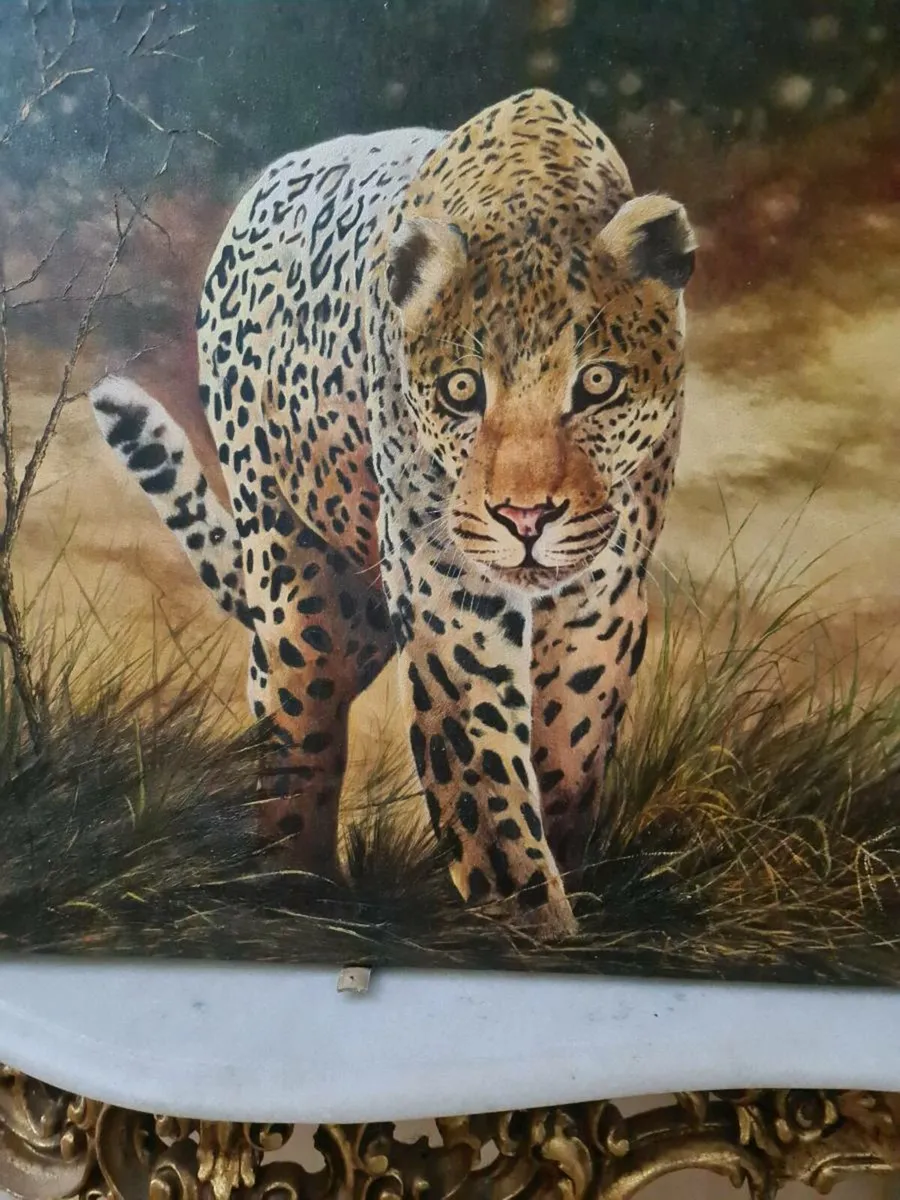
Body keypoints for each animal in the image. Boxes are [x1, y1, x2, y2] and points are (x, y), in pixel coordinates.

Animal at [91, 88, 696, 939]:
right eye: (462, 391)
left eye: (598, 384)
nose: (525, 519)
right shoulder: (450, 592)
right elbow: (480, 770)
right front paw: (524, 917)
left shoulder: (601, 598)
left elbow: (571, 744)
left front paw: (564, 881)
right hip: (298, 577)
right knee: (294, 719)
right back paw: (295, 885)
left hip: (363, 610)